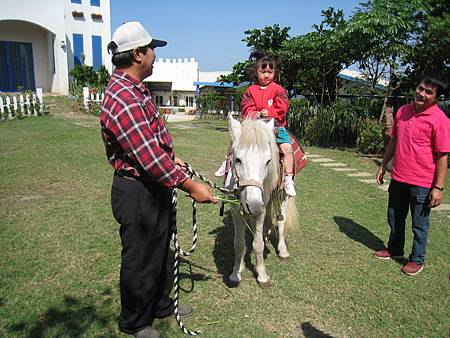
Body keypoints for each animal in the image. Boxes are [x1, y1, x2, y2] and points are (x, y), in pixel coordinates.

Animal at [227, 116, 298, 288]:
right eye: (237, 159)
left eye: (268, 161)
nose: (253, 205)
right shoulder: (236, 211)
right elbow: (239, 243)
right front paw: (236, 272)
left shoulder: (259, 211)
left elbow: (257, 245)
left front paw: (262, 276)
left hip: (282, 196)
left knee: (281, 221)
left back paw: (282, 251)